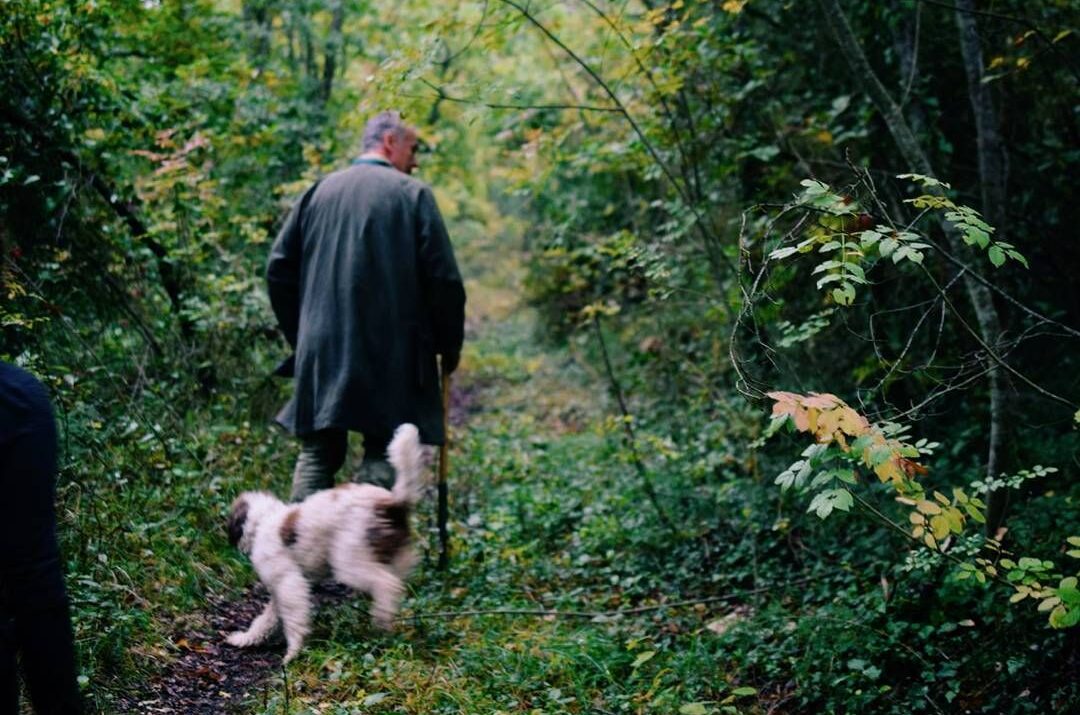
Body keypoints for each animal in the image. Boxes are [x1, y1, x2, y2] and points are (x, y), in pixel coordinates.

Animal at [225, 423, 423, 665]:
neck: (264, 521)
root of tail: (391, 503)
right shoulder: (280, 589)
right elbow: (266, 619)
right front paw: (246, 639)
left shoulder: (288, 582)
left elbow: (293, 618)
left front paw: (293, 653)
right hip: (396, 555)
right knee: (396, 583)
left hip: (349, 558)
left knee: (387, 584)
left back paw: (380, 621)